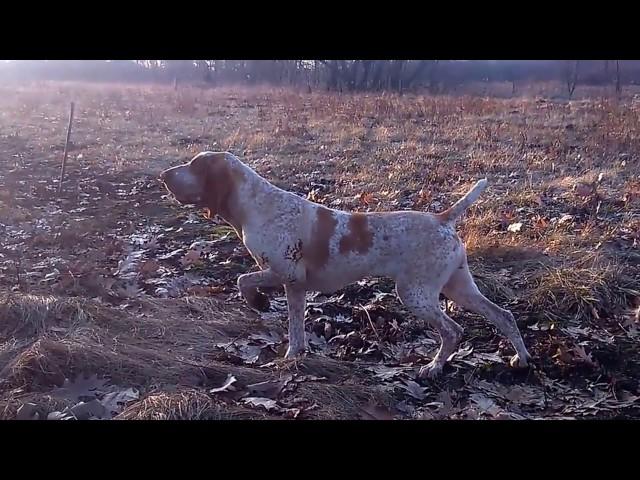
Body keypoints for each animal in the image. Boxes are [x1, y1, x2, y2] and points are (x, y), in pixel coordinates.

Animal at [160, 152, 528, 376]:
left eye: (195, 166)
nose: (163, 174)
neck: (257, 205)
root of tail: (443, 218)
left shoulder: (285, 273)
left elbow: (243, 281)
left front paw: (258, 302)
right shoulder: (295, 286)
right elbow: (296, 330)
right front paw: (293, 357)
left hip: (416, 294)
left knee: (453, 330)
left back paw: (435, 367)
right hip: (458, 287)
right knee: (503, 316)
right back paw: (521, 359)